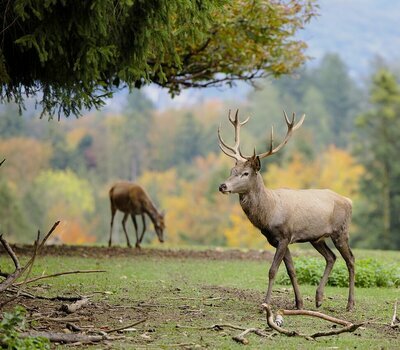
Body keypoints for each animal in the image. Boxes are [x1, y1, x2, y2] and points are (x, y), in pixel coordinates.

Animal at [219, 110, 356, 310]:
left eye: (246, 173)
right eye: (232, 170)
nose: (222, 186)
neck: (269, 213)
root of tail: (349, 201)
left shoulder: (284, 235)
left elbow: (272, 270)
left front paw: (266, 303)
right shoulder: (277, 240)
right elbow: (291, 270)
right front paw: (299, 303)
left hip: (341, 231)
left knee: (350, 260)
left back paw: (350, 304)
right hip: (317, 238)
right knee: (331, 257)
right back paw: (318, 298)